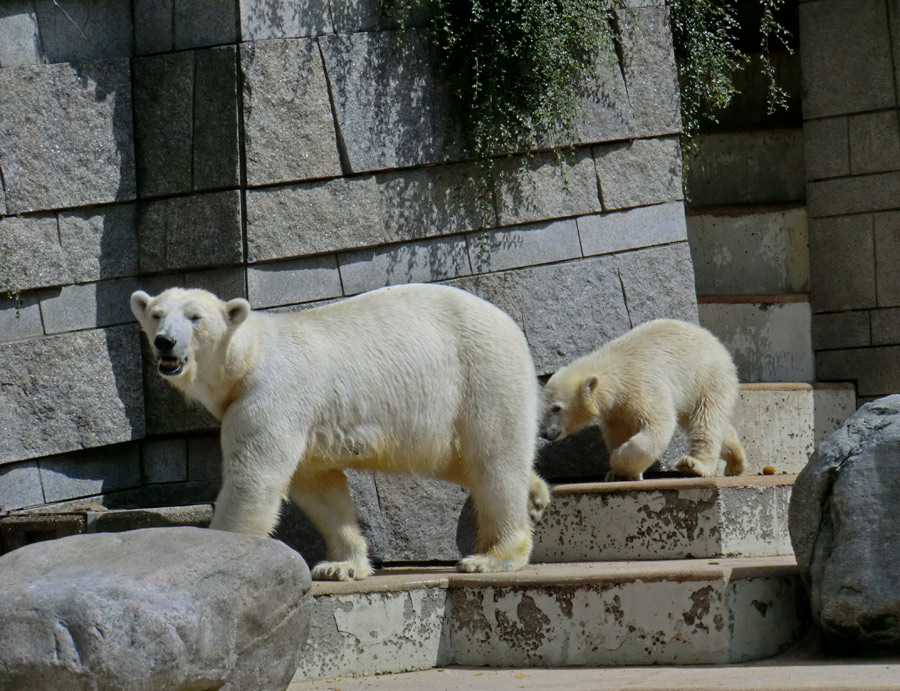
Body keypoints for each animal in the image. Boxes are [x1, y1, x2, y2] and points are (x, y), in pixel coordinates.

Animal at [129, 284, 544, 580]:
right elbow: (317, 486)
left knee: (493, 459)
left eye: (195, 317)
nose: (165, 341)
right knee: (464, 462)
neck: (248, 359)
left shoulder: (269, 397)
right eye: (156, 314)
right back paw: (535, 496)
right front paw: (341, 565)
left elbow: (254, 478)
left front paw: (221, 551)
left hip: (481, 374)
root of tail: (509, 323)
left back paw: (493, 556)